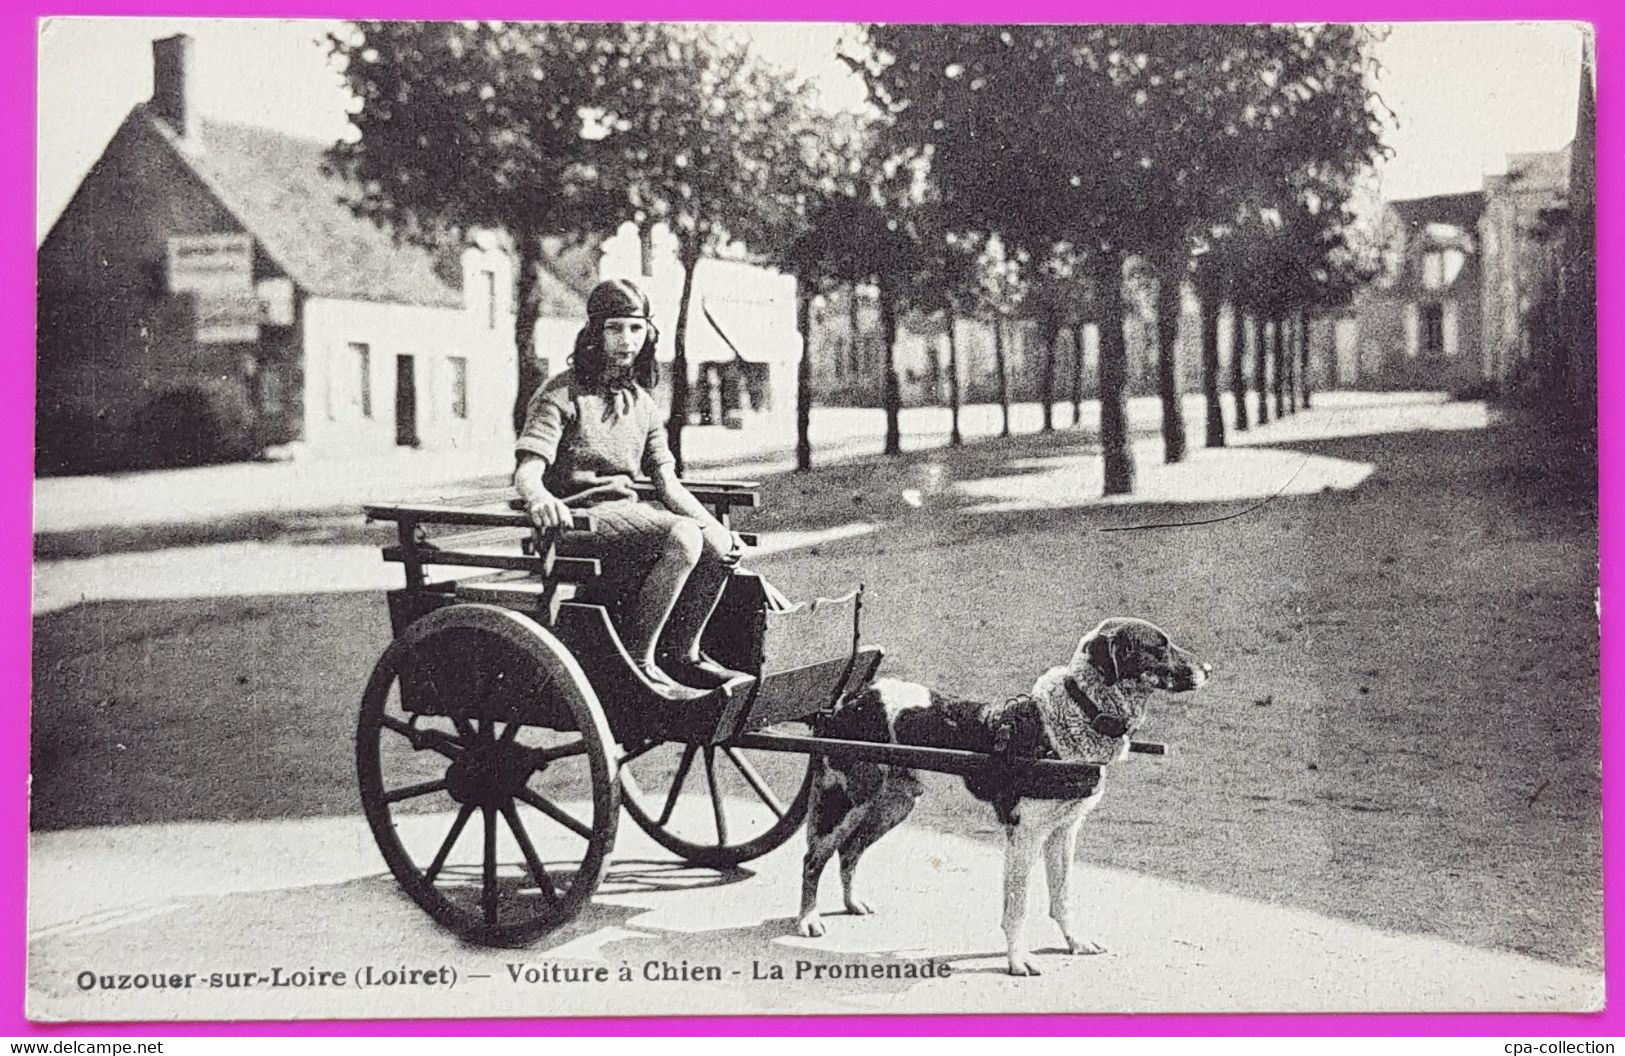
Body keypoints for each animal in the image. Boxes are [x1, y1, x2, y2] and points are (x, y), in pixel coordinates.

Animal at [793, 617, 1215, 968]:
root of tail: (849, 700)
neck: (1078, 715)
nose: (1209, 670)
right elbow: (1018, 908)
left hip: (892, 805)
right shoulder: (1024, 835)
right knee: (814, 858)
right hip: (846, 799)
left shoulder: (1063, 833)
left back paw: (851, 903)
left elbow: (1062, 896)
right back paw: (808, 919)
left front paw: (1074, 942)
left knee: (850, 851)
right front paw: (1017, 960)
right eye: (1159, 647)